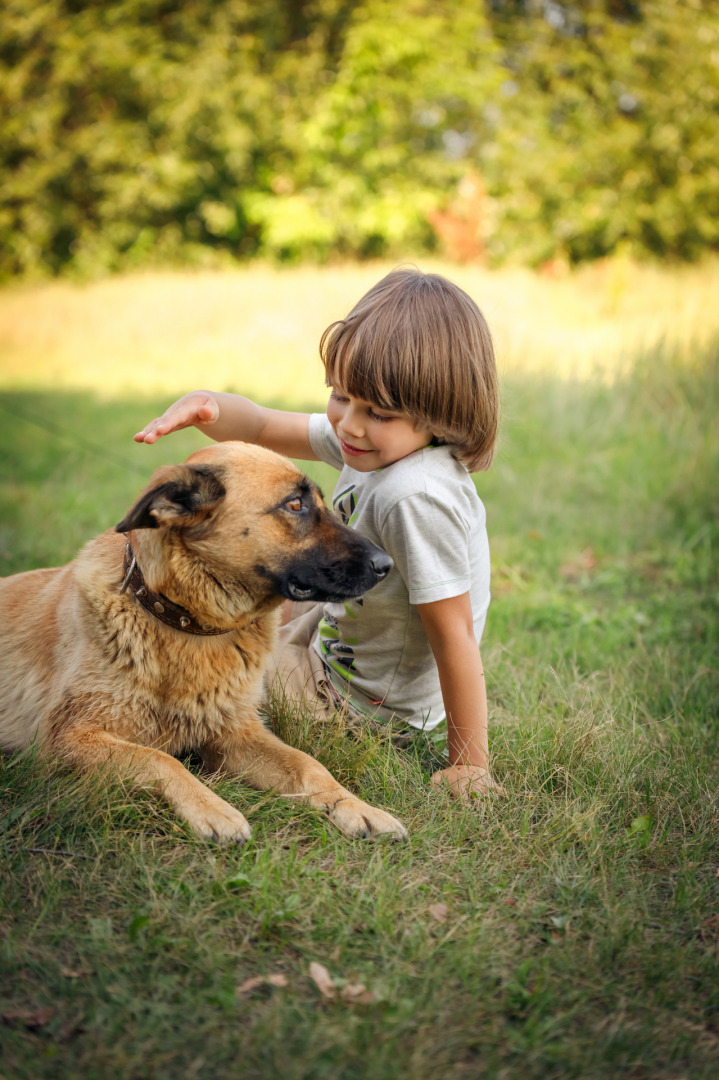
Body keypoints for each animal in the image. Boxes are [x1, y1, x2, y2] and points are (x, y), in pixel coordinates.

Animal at [0, 438, 405, 842]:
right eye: (294, 504)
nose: (387, 565)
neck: (184, 624)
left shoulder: (234, 735)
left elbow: (308, 765)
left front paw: (356, 807)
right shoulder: (69, 738)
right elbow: (159, 758)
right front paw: (213, 809)